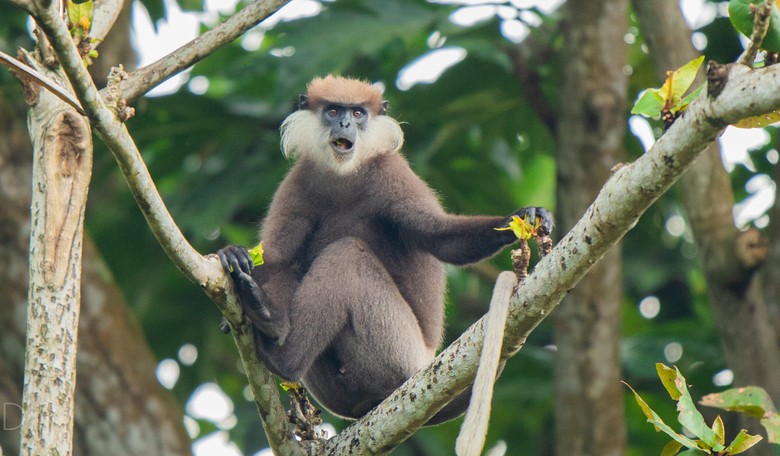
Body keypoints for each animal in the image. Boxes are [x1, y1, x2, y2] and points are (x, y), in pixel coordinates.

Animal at [217, 75, 553, 424]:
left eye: (358, 113)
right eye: (333, 111)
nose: (345, 123)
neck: (345, 176)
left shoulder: (391, 172)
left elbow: (442, 238)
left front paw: (520, 218)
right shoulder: (301, 178)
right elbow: (277, 257)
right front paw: (233, 256)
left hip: (397, 351)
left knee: (347, 255)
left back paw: (279, 352)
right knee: (294, 270)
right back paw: (265, 314)